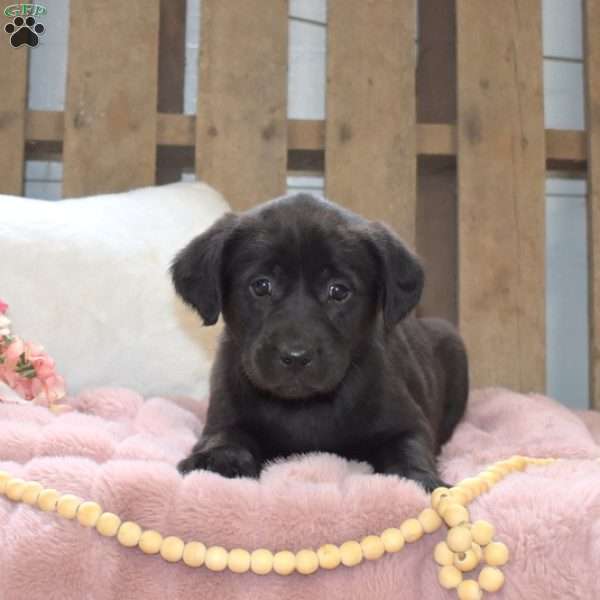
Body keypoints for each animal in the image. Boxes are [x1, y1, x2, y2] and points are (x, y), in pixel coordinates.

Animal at [170, 193, 468, 492]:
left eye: (338, 290)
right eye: (261, 285)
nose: (296, 357)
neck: (304, 406)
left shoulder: (406, 421)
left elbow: (409, 448)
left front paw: (420, 479)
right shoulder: (224, 412)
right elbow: (224, 436)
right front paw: (219, 460)